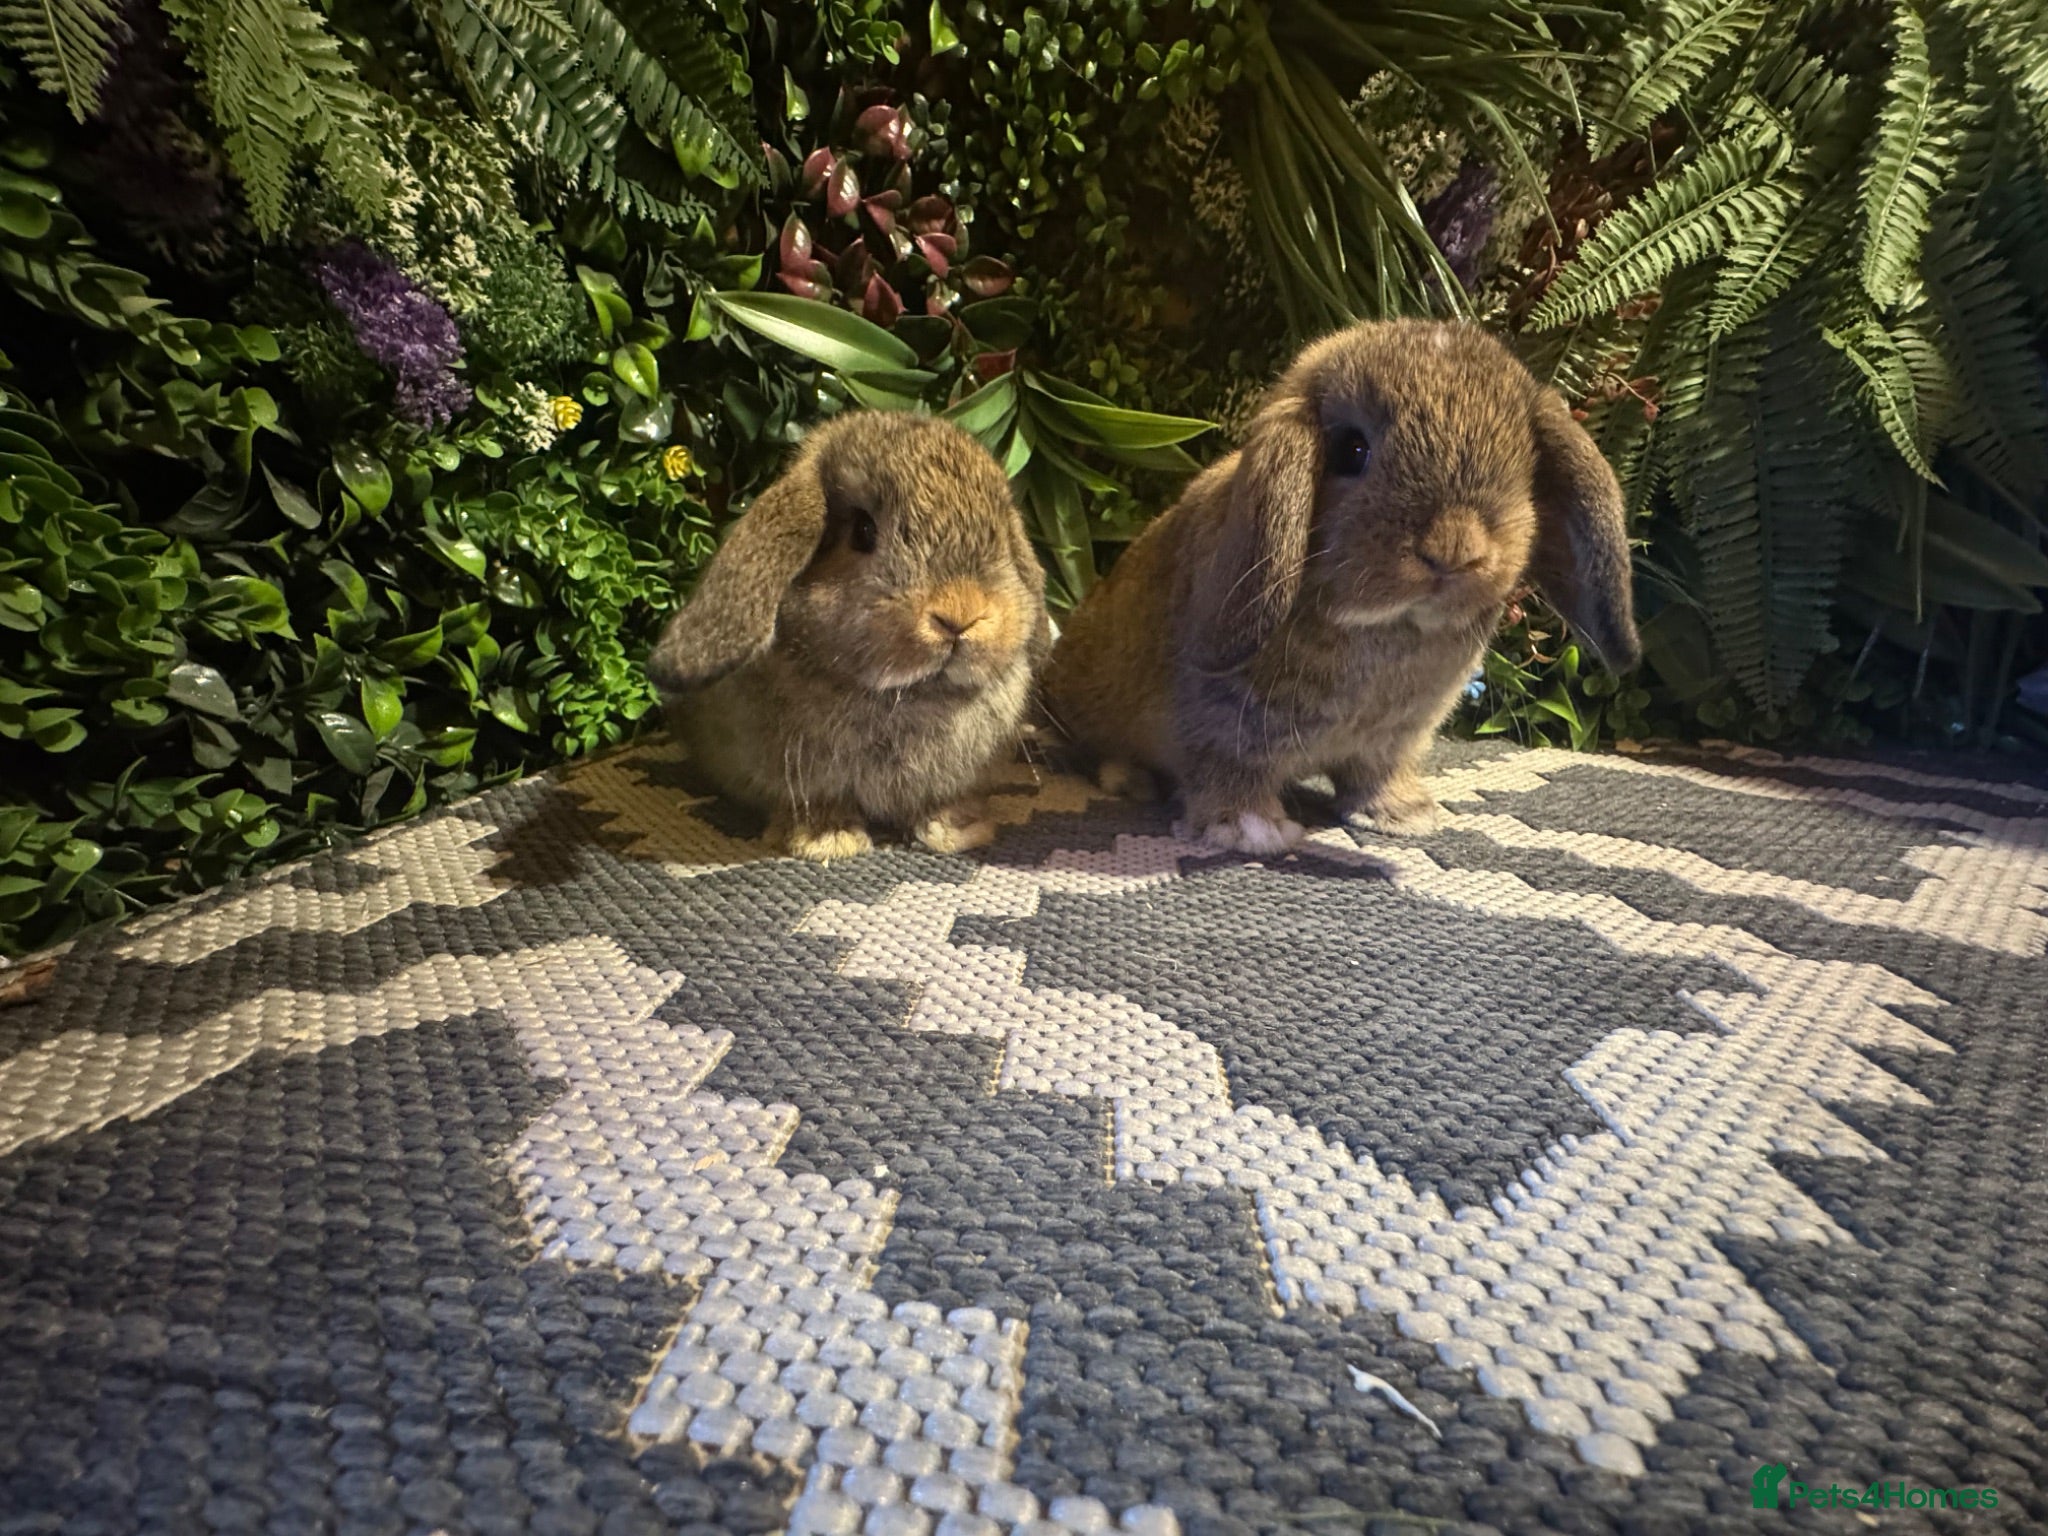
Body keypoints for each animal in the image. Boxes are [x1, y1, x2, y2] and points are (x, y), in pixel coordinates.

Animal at [645, 410, 1051, 861]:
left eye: (1000, 536)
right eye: (863, 530)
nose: (960, 615)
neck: (907, 696)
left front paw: (956, 831)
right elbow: (817, 801)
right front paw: (829, 840)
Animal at [1040, 318, 1638, 854]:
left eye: (1526, 470)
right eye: (1352, 450)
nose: (1455, 549)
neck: (1387, 628)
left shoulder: (1390, 743)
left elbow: (1375, 777)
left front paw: (1404, 815)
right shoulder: (1222, 729)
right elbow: (1228, 776)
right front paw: (1252, 831)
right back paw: (1131, 779)